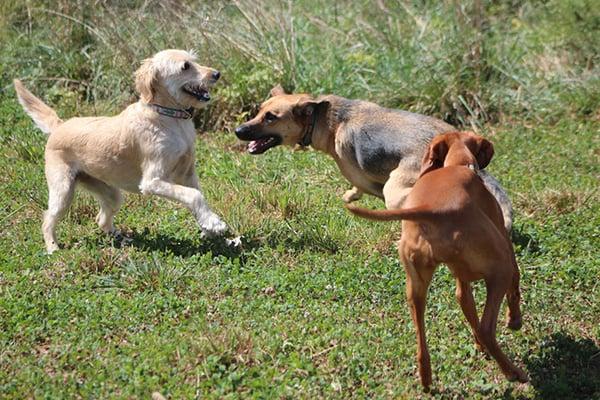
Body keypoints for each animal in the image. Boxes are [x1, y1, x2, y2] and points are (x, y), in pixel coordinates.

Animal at [14, 48, 230, 252]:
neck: (170, 118)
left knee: (101, 219)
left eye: (194, 60)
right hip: (63, 191)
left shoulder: (187, 174)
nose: (217, 74)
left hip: (110, 193)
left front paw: (208, 225)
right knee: (47, 219)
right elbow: (194, 195)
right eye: (185, 66)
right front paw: (214, 224)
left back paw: (122, 239)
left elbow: (196, 196)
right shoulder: (152, 182)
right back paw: (53, 247)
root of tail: (59, 125)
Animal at [233, 86, 510, 230]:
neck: (324, 120)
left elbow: (362, 187)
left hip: (395, 190)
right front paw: (349, 196)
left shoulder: (363, 178)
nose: (238, 131)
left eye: (271, 117)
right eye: (258, 111)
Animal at [346, 132, 524, 390]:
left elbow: (466, 306)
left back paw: (426, 378)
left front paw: (478, 346)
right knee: (487, 327)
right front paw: (515, 320)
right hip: (500, 267)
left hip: (415, 288)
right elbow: (515, 287)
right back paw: (513, 372)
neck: (458, 164)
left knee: (422, 340)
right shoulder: (507, 249)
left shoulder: (462, 284)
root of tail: (433, 209)